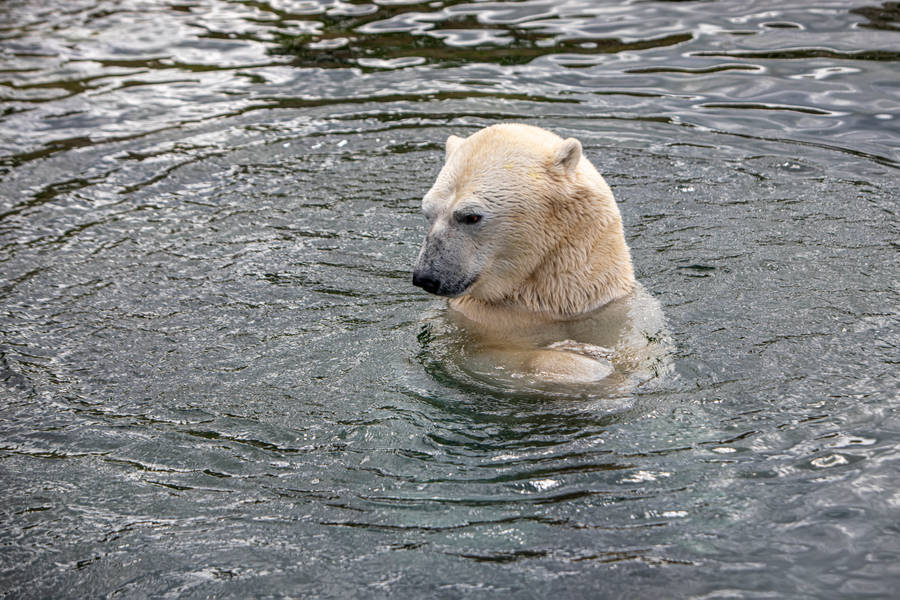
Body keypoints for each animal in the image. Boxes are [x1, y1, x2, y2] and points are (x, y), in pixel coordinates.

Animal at [412, 123, 664, 384]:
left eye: (471, 216)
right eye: (428, 213)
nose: (426, 277)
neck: (546, 305)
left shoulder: (624, 316)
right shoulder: (470, 324)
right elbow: (489, 359)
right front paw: (584, 360)